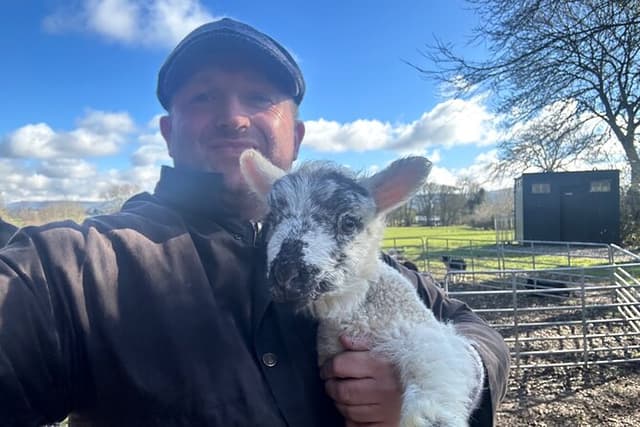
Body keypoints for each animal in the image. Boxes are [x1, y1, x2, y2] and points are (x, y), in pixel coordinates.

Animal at [239, 149, 484, 427]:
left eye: (348, 223)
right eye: (272, 220)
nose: (285, 274)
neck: (354, 312)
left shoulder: (426, 335)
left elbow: (434, 364)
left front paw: (431, 418)